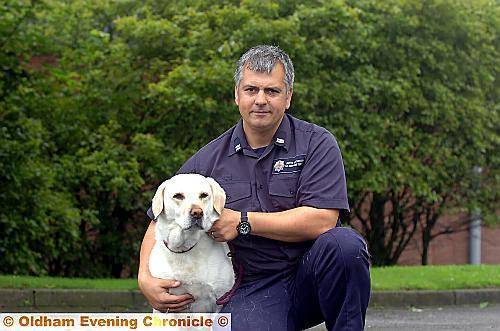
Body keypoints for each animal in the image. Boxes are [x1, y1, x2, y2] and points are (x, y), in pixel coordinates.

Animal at [148, 174, 234, 314]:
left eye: (204, 195)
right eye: (178, 196)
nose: (197, 212)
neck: (184, 247)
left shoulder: (220, 300)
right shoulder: (165, 304)